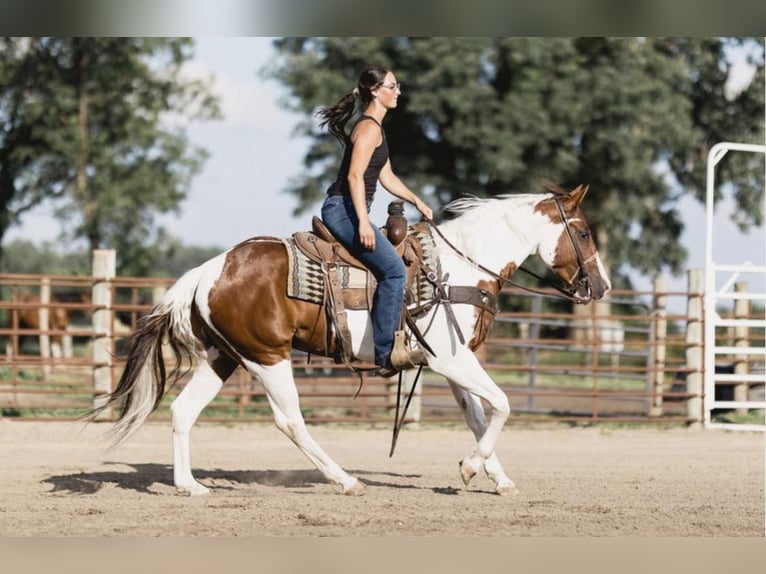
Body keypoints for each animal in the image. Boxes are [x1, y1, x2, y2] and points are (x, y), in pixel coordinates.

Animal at [93, 186, 616, 500]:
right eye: (583, 231)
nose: (603, 286)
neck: (457, 269)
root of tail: (208, 270)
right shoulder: (451, 360)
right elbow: (503, 404)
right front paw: (471, 468)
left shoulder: (452, 363)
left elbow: (479, 417)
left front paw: (496, 477)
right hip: (267, 357)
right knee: (290, 421)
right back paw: (344, 480)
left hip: (225, 357)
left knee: (183, 411)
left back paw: (190, 486)